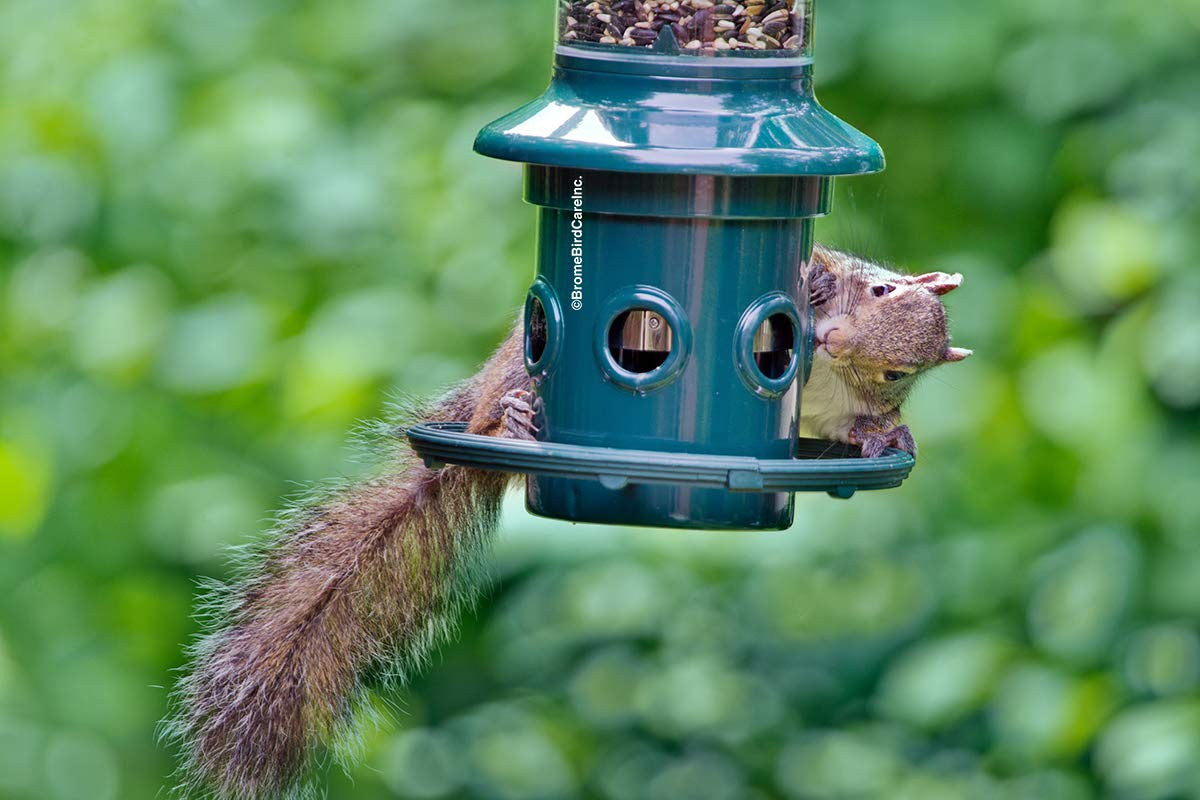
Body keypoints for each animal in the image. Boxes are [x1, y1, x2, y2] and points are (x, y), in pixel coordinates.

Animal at [165, 245, 970, 800]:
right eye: (880, 287)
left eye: (901, 372)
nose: (828, 344)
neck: (829, 374)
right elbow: (819, 261)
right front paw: (814, 282)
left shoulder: (844, 413)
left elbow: (867, 430)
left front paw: (889, 439)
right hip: (514, 369)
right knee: (494, 416)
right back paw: (513, 423)